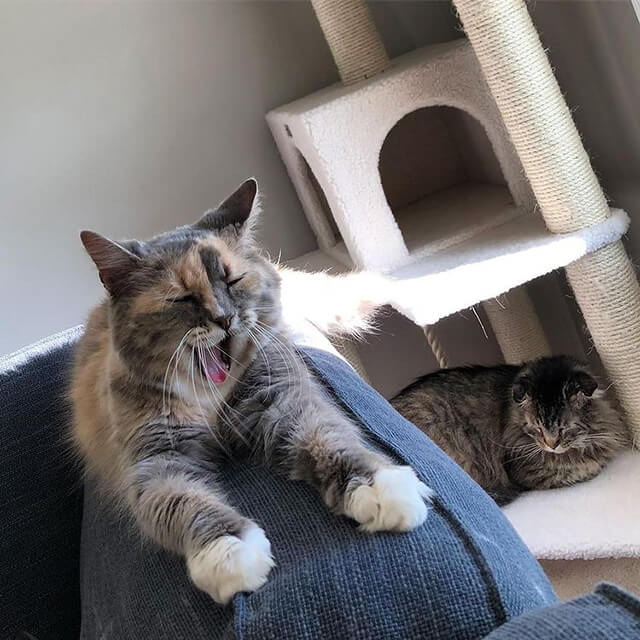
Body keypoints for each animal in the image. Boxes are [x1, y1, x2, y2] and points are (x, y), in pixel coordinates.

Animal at [70, 178, 431, 605]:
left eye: (232, 281)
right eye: (182, 298)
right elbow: (186, 503)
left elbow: (330, 438)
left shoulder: (283, 403)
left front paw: (381, 488)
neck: (210, 395)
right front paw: (229, 553)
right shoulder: (157, 460)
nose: (224, 319)